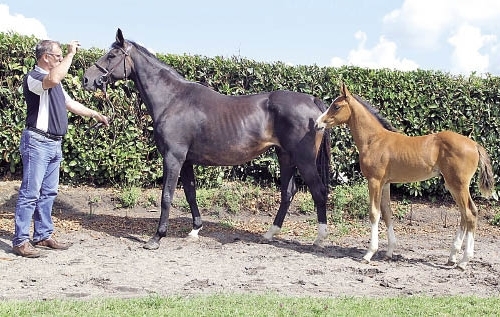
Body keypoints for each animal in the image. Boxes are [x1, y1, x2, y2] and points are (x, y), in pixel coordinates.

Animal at [83, 29, 330, 249]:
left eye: (112, 55)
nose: (86, 79)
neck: (173, 100)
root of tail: (313, 100)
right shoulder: (186, 161)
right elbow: (190, 194)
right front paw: (195, 229)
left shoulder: (173, 157)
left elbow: (167, 196)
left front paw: (157, 237)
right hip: (285, 156)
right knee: (288, 193)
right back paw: (270, 234)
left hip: (304, 159)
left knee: (319, 191)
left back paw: (319, 239)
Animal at [314, 82, 494, 270]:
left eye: (336, 106)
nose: (317, 124)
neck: (374, 140)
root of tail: (474, 144)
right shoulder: (385, 183)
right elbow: (387, 213)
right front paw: (389, 252)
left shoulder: (374, 181)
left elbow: (374, 213)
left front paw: (369, 254)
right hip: (453, 185)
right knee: (466, 214)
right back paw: (452, 257)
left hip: (458, 184)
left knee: (469, 214)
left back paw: (463, 261)